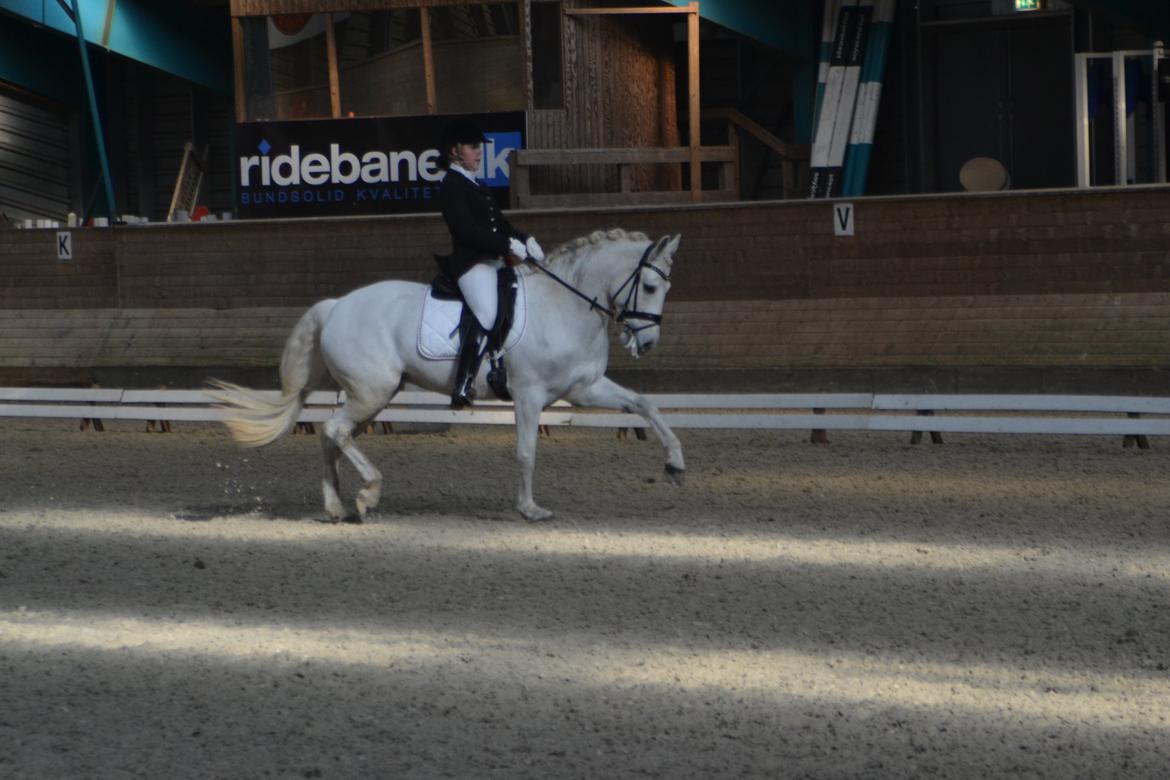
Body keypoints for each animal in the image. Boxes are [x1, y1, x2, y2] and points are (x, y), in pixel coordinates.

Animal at [208, 228, 685, 522]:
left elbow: (645, 403)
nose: (646, 344)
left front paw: (675, 464)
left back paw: (337, 507)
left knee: (331, 436)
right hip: (371, 393)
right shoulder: (529, 395)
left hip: (369, 397)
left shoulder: (583, 389)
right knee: (334, 431)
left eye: (666, 288)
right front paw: (529, 509)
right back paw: (367, 493)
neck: (566, 304)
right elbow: (526, 452)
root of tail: (337, 304)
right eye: (650, 287)